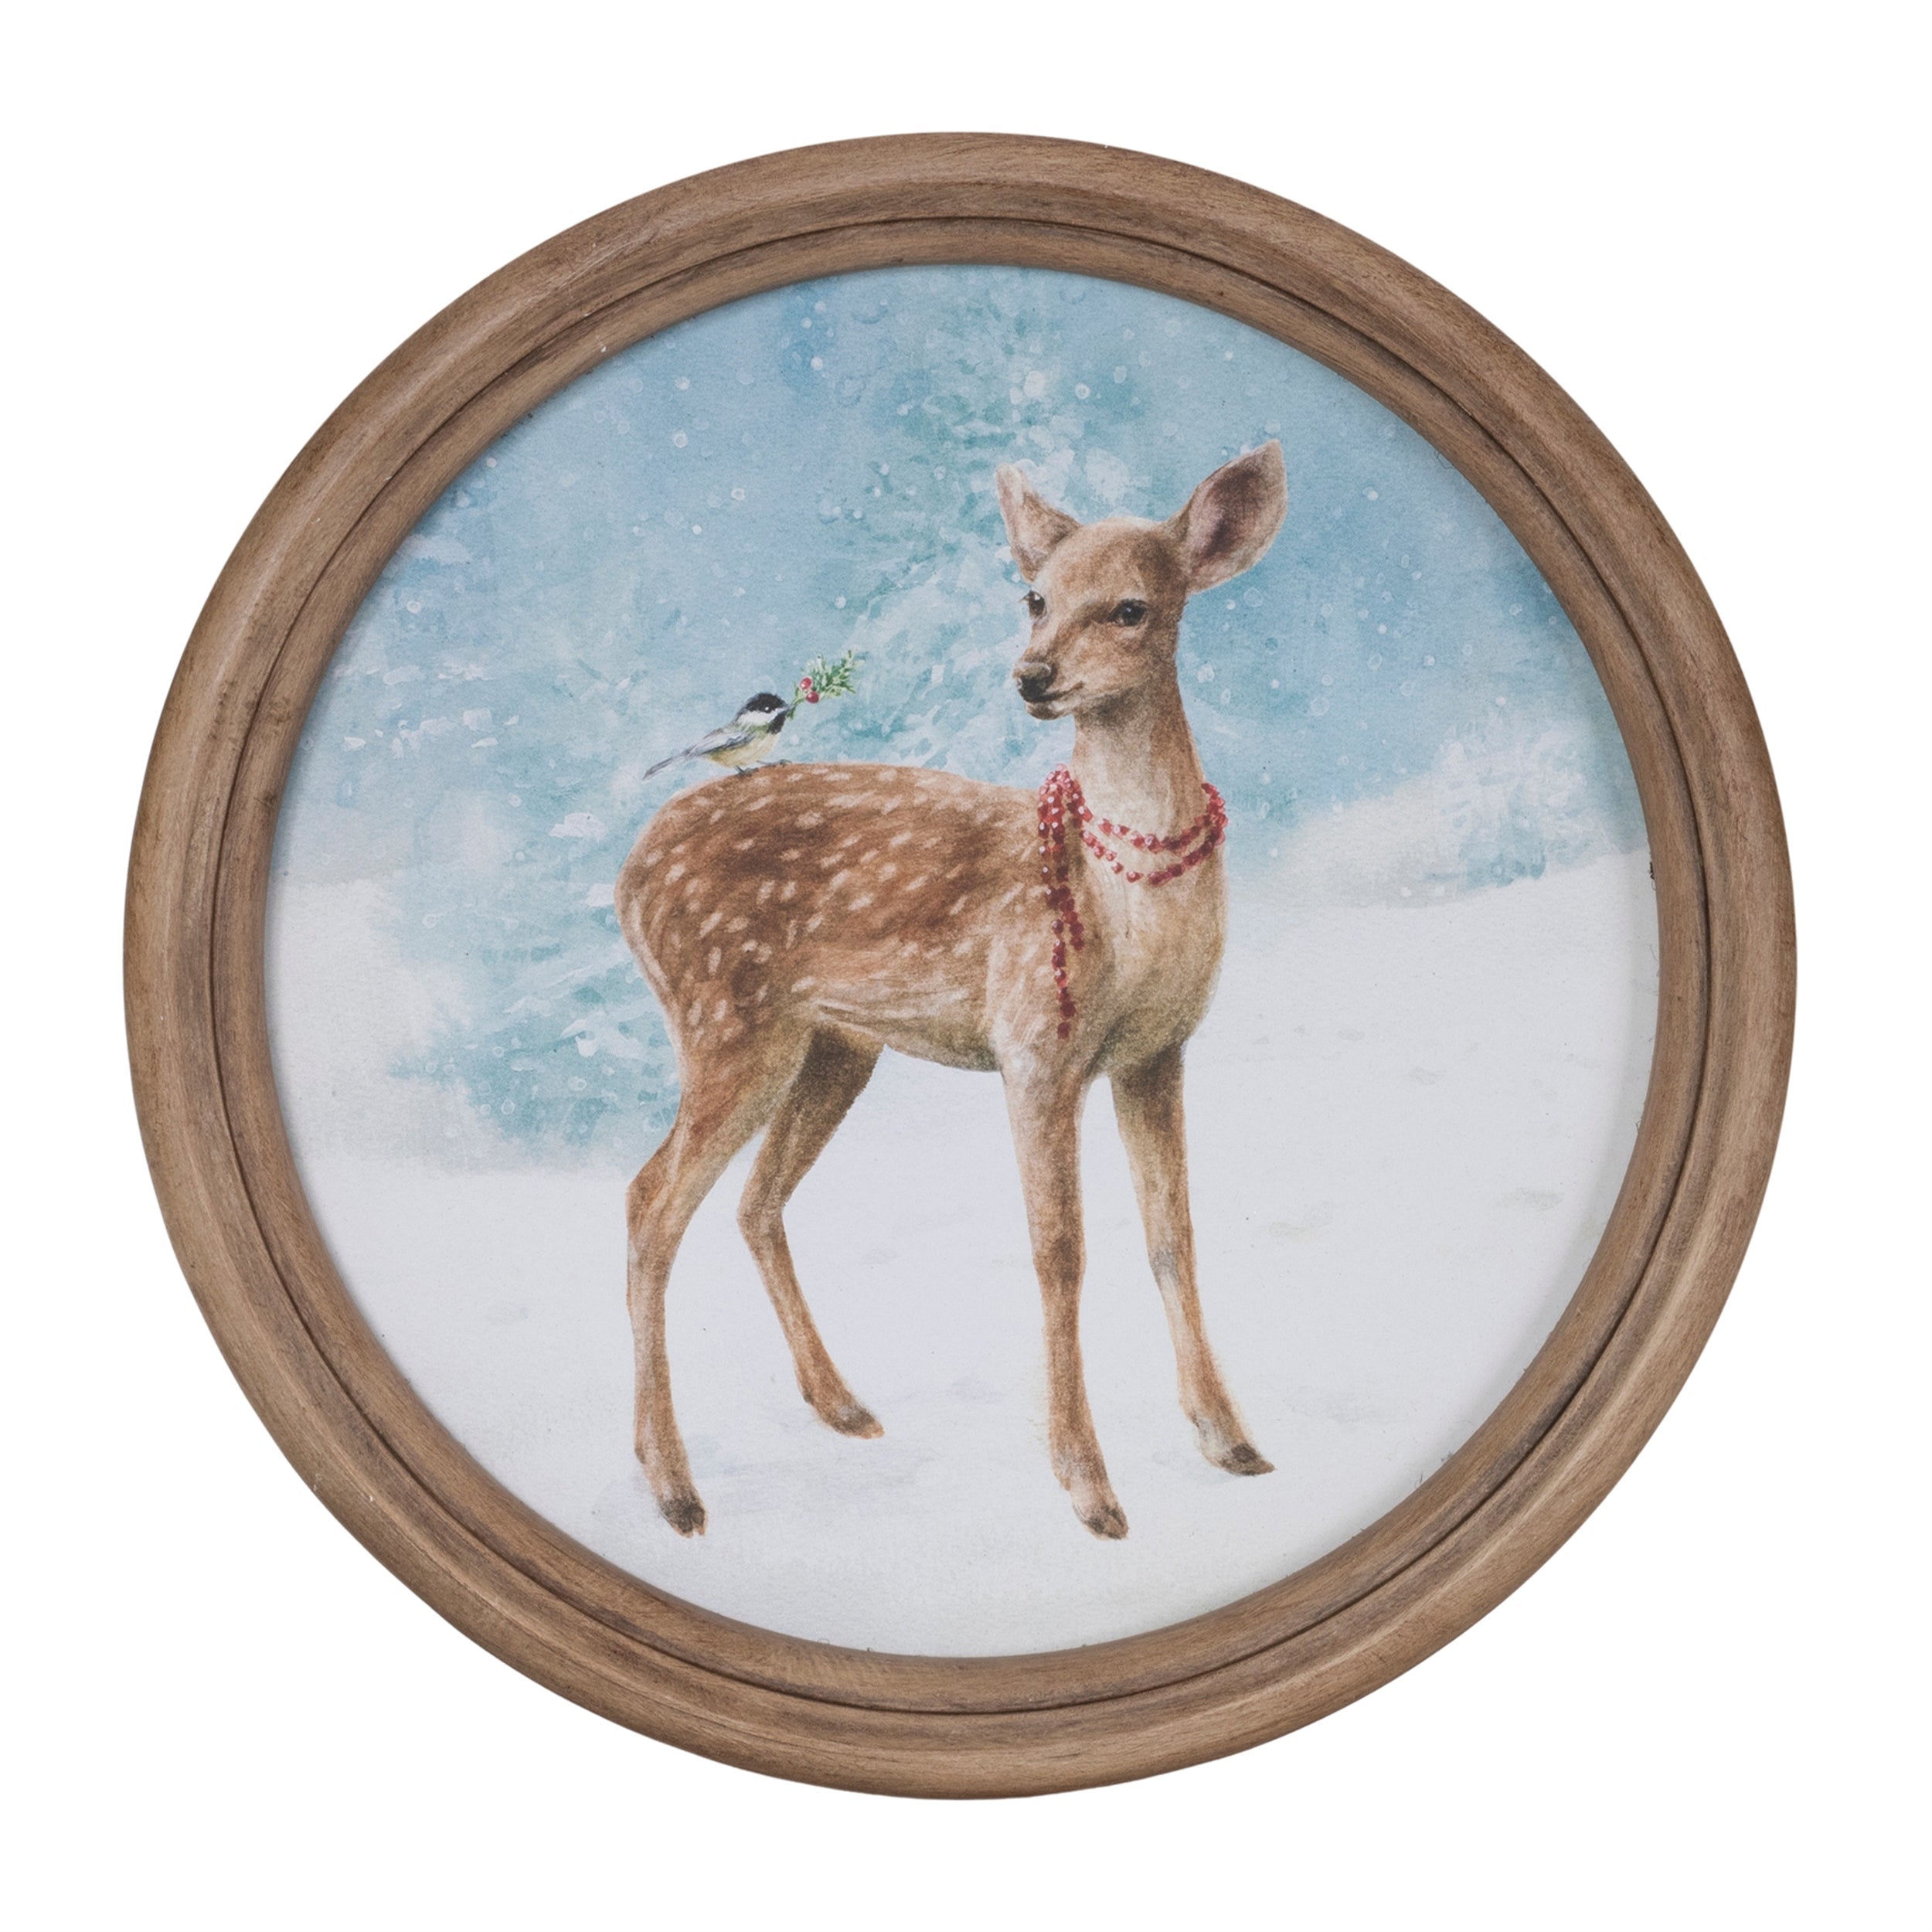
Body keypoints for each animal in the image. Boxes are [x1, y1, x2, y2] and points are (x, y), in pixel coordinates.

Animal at [614, 441, 1289, 1539]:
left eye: (1131, 607)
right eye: (1034, 595)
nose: (1033, 676)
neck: (1128, 903)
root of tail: (629, 872)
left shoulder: (1157, 1052)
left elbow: (1172, 1238)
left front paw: (1230, 1441)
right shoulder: (1033, 1045)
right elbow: (1060, 1250)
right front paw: (1089, 1486)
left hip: (833, 1045)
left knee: (753, 1200)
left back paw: (840, 1407)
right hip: (726, 1020)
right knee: (648, 1200)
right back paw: (675, 1488)